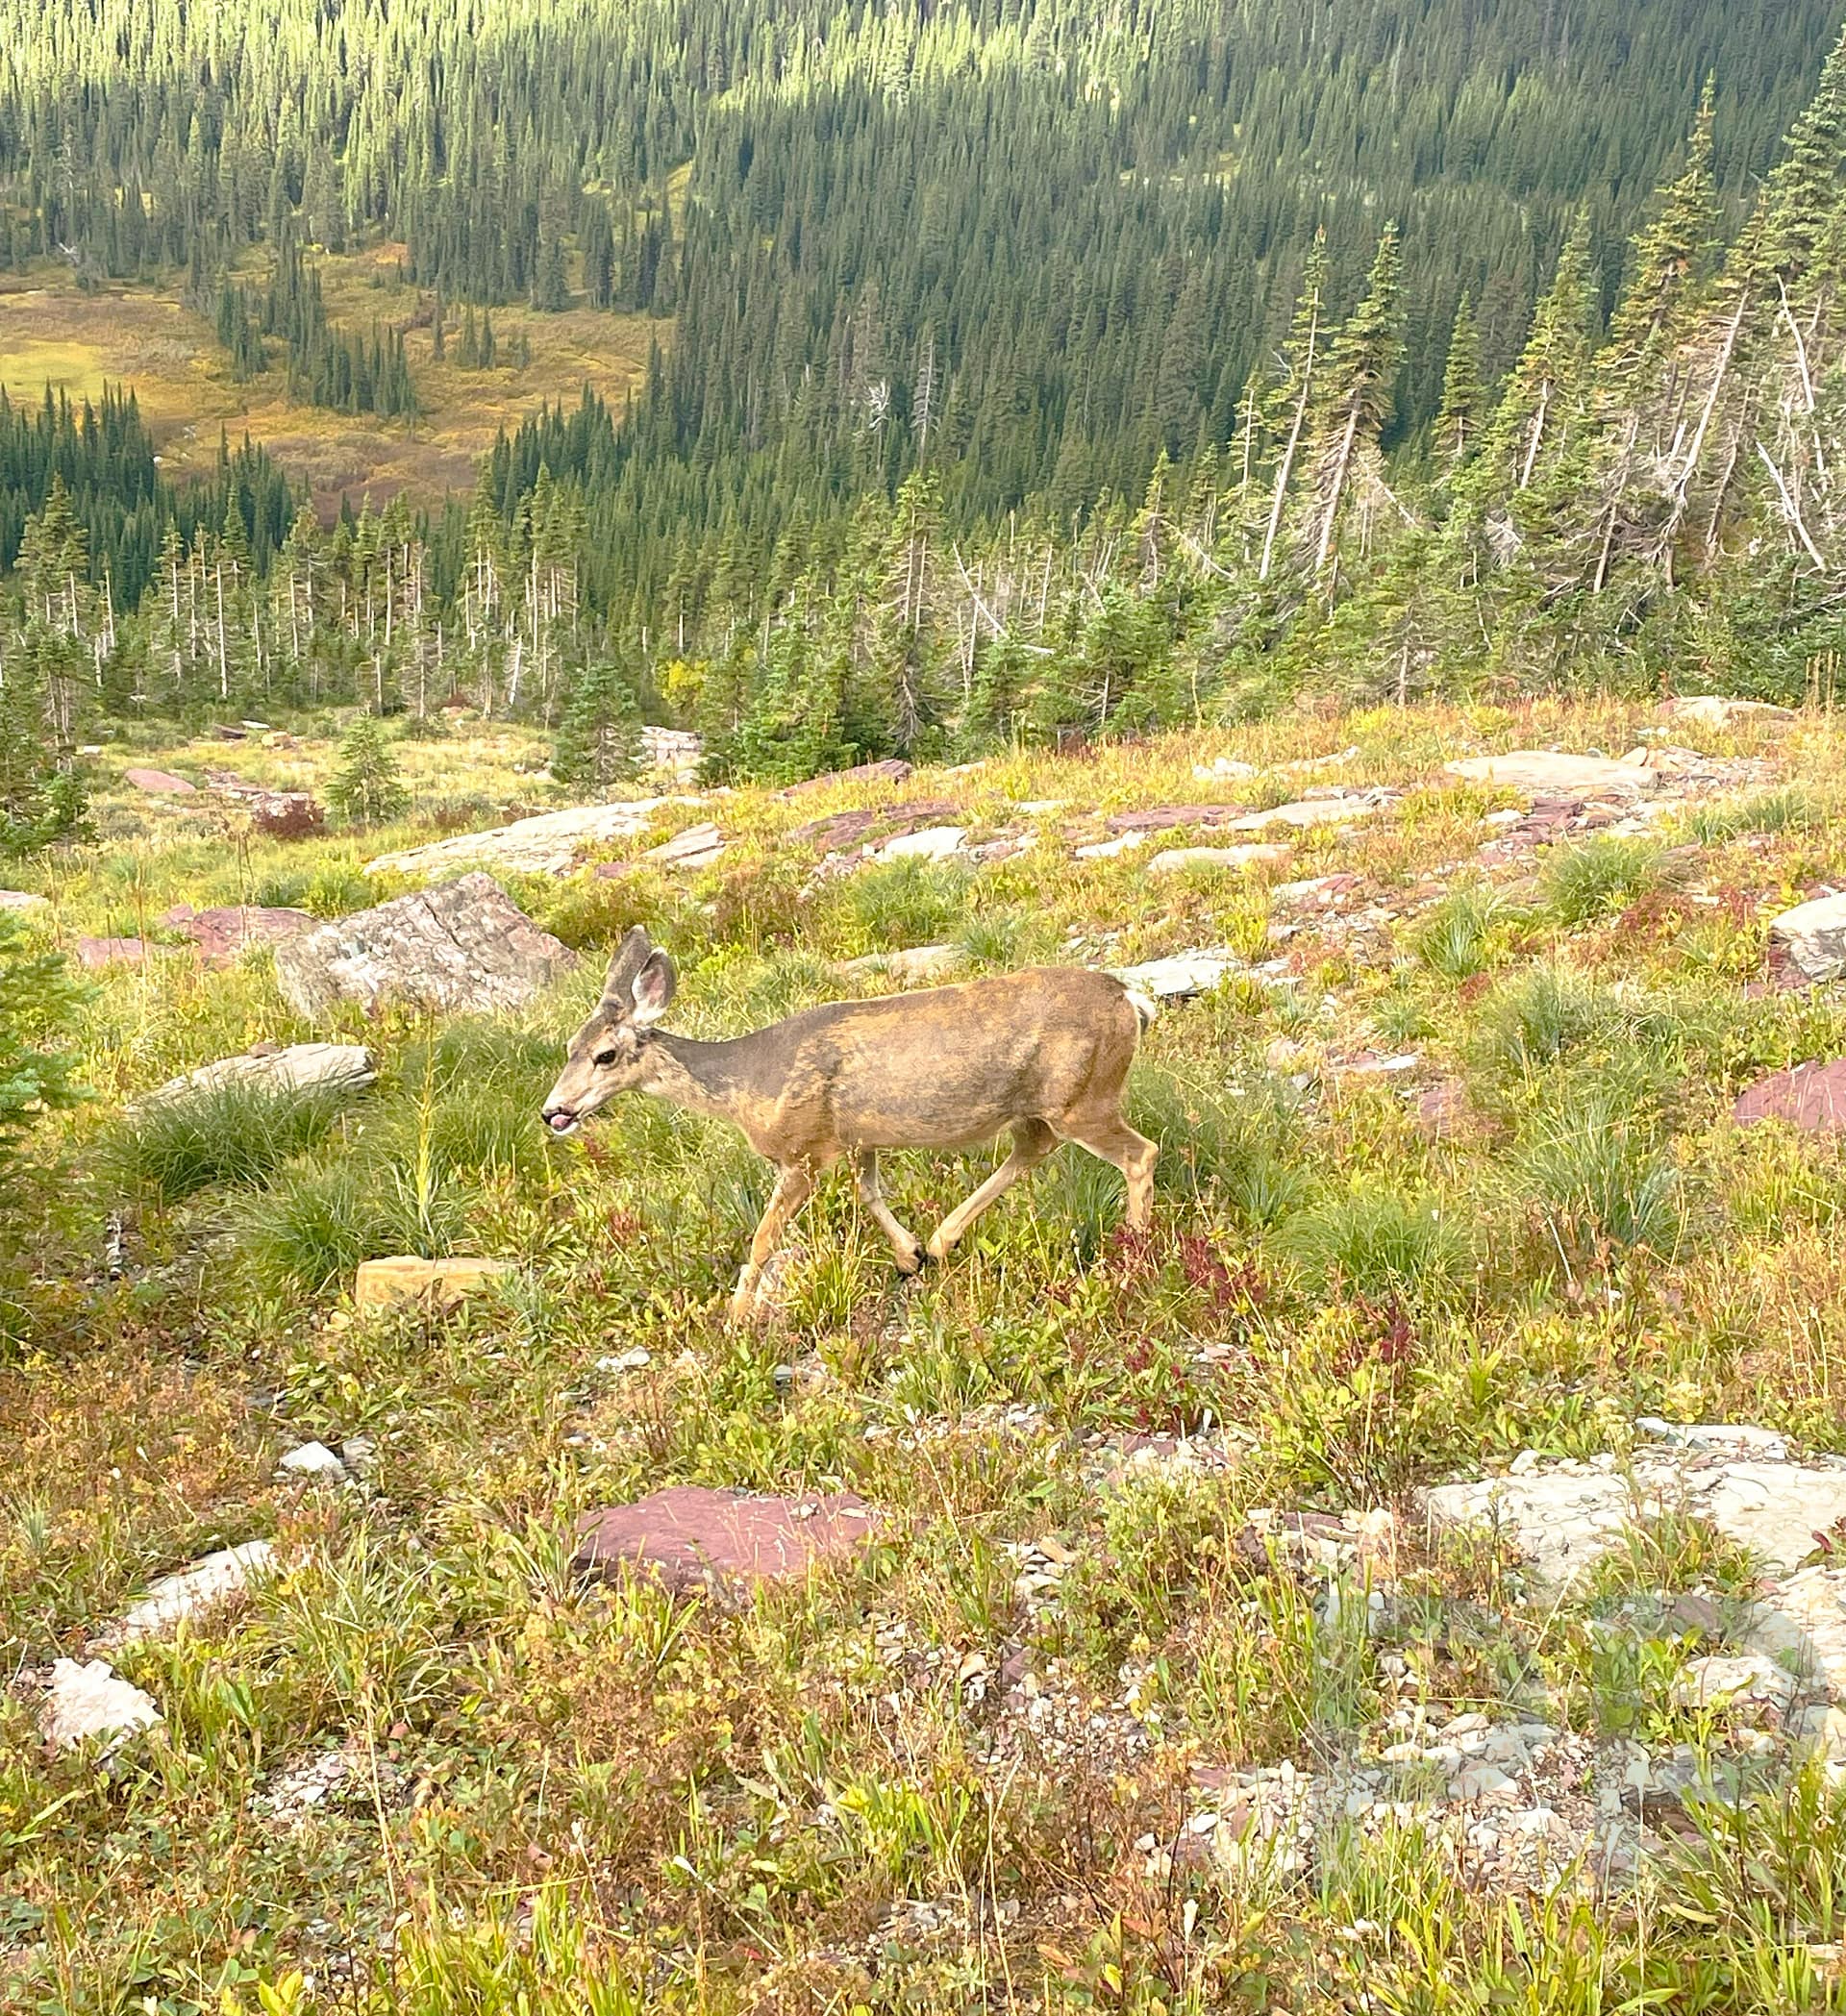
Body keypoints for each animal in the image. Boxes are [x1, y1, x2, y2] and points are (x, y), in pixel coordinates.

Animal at [542, 927, 1160, 1324]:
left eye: (604, 1055)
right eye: (568, 1045)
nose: (554, 1112)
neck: (748, 1084)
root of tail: (1131, 999)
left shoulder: (803, 1151)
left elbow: (763, 1239)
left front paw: (734, 1318)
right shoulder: (857, 1137)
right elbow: (869, 1190)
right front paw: (909, 1255)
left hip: (1085, 1097)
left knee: (1140, 1153)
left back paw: (1135, 1254)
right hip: (1042, 1106)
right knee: (1033, 1150)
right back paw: (942, 1241)